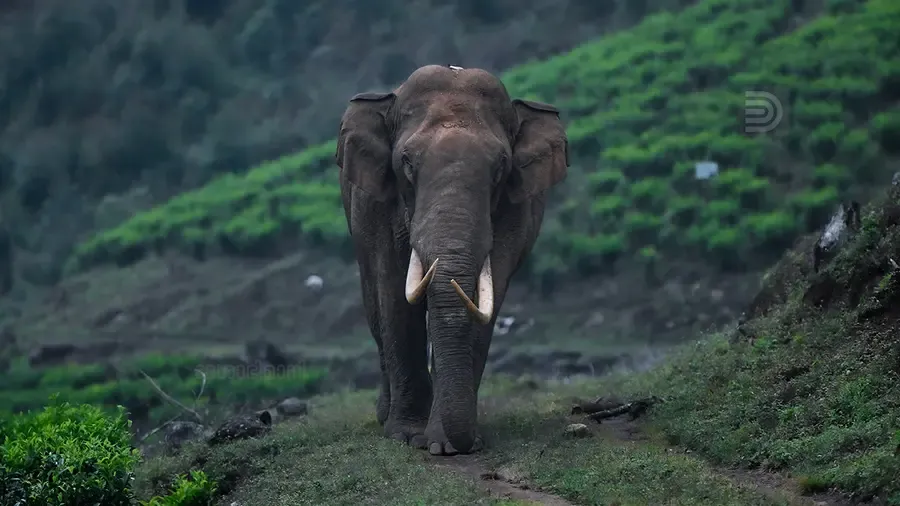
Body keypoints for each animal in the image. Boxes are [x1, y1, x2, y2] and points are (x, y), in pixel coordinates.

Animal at [335, 64, 568, 455]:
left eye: (500, 168)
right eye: (406, 163)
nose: (464, 443)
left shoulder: (515, 210)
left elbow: (486, 295)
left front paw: (446, 444)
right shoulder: (375, 204)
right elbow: (393, 293)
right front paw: (406, 436)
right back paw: (384, 416)